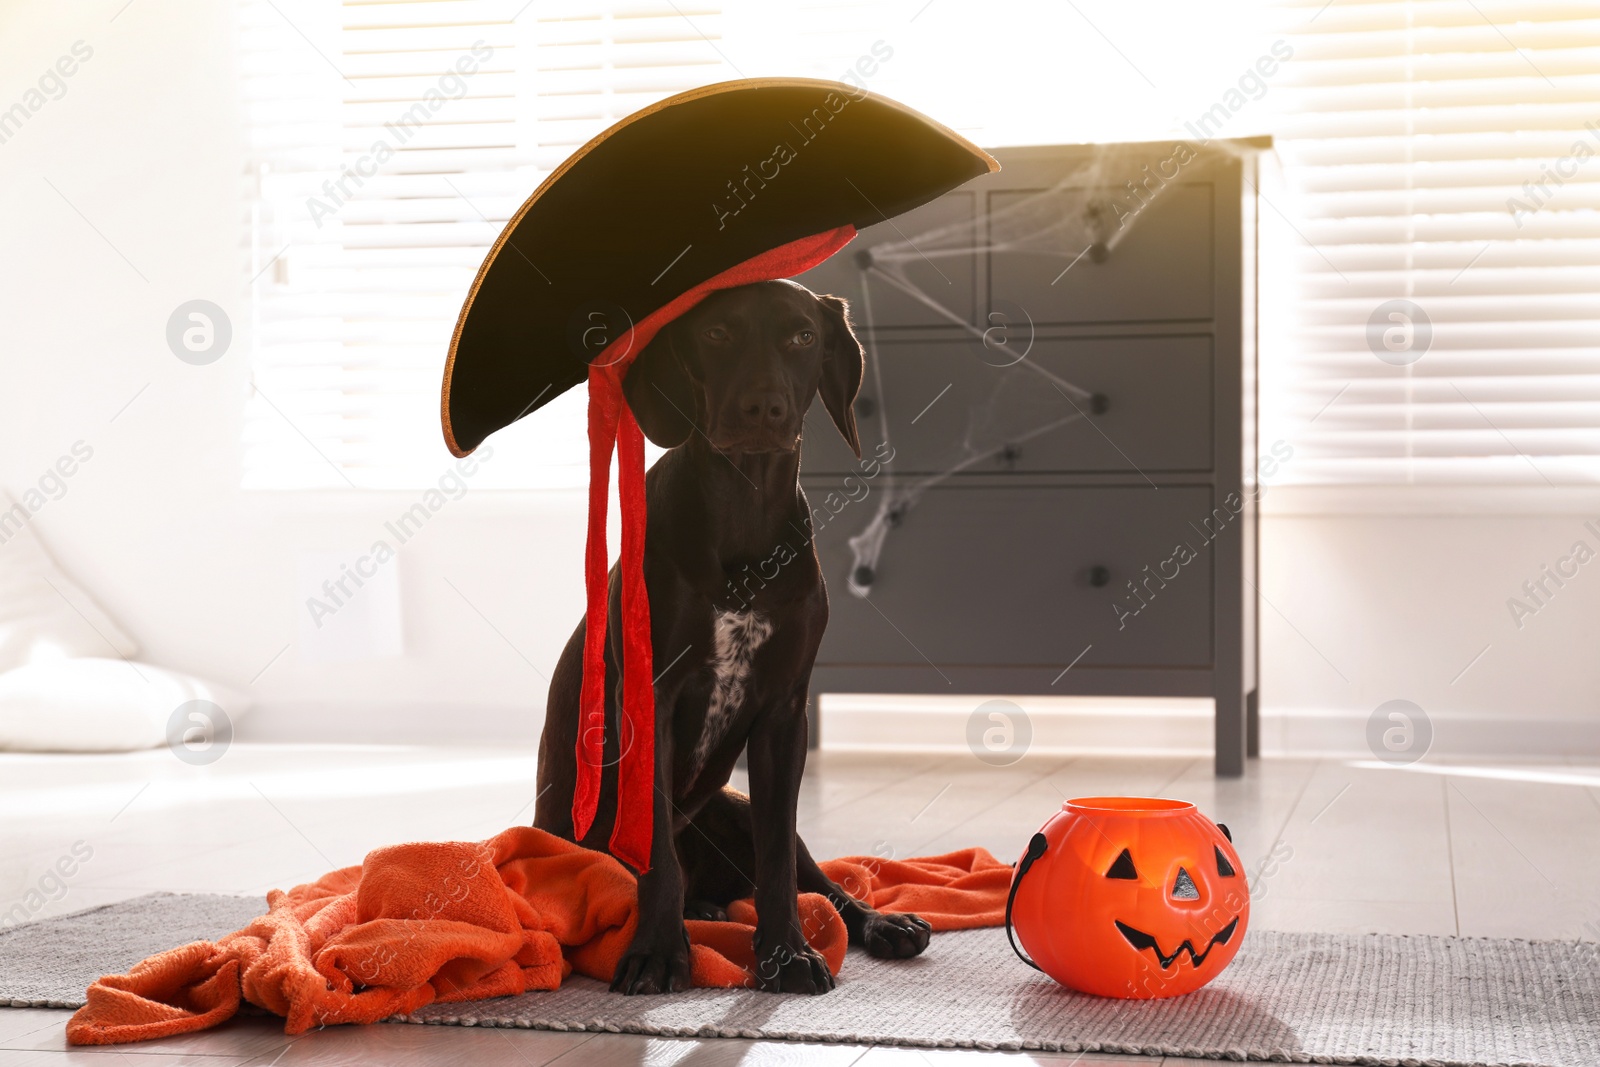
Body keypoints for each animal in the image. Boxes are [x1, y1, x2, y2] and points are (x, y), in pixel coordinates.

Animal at [534, 279, 934, 998]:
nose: (763, 407)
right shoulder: (652, 704)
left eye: (803, 336)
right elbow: (656, 856)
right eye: (716, 332)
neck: (744, 514)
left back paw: (879, 923)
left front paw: (787, 953)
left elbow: (779, 867)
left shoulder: (784, 714)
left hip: (738, 805)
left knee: (824, 883)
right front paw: (660, 952)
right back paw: (700, 910)